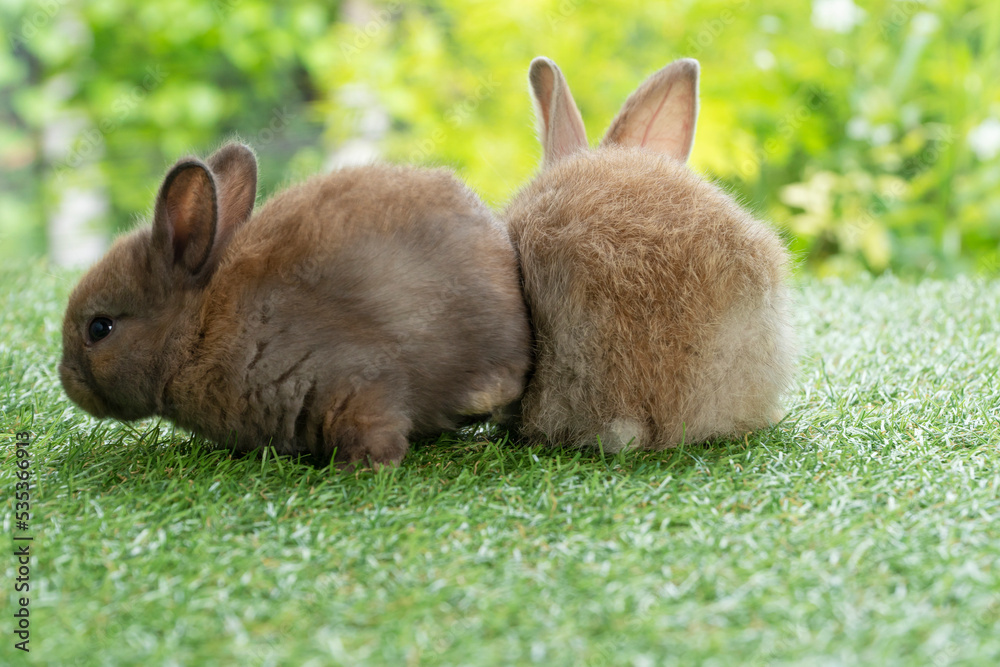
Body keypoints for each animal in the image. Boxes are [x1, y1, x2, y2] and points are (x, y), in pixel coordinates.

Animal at [59, 142, 532, 468]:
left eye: (100, 328)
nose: (67, 379)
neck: (199, 330)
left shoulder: (352, 381)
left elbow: (376, 429)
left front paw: (362, 470)